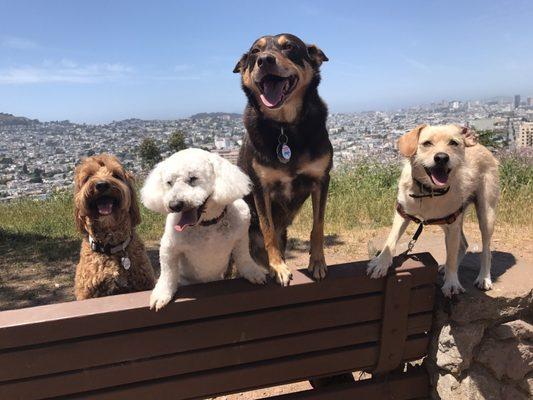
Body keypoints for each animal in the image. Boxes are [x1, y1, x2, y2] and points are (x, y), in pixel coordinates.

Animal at [234, 33, 330, 284]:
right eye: (255, 52)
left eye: (289, 47)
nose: (265, 60)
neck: (284, 127)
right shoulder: (260, 187)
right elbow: (268, 229)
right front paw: (277, 267)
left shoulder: (321, 180)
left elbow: (318, 225)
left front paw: (318, 262)